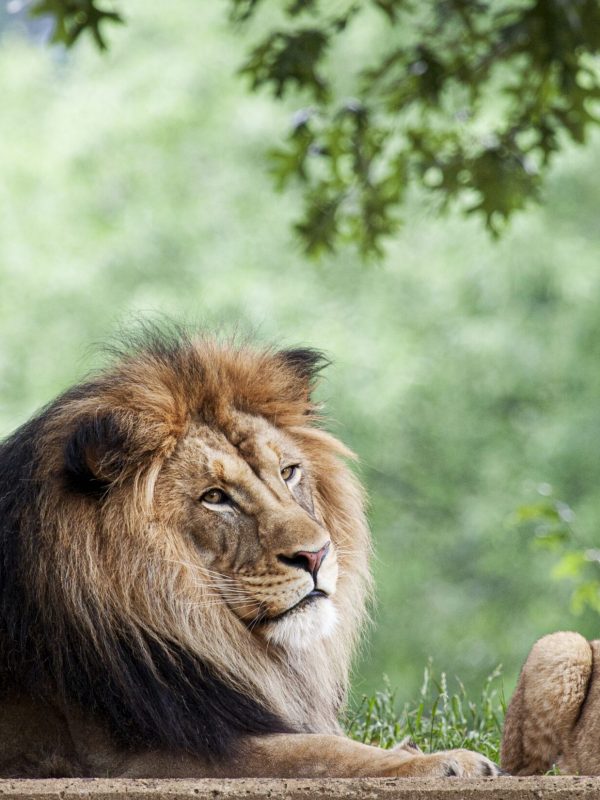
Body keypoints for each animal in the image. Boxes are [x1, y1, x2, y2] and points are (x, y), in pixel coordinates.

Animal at [0, 330, 500, 778]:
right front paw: (445, 761)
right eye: (215, 497)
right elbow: (318, 751)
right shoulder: (131, 755)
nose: (316, 556)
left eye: (289, 471)